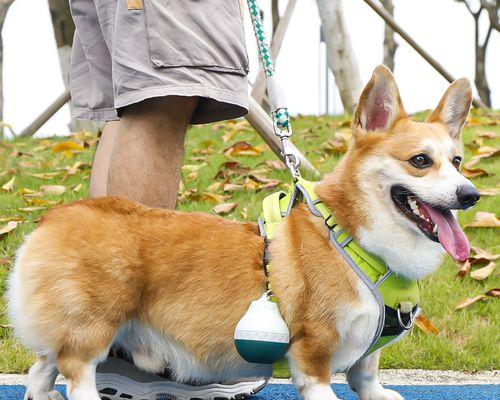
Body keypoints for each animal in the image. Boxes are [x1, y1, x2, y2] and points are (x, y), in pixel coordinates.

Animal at [5, 66, 478, 400]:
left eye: (456, 161)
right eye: (420, 161)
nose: (470, 195)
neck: (356, 239)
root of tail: (53, 218)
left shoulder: (367, 354)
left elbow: (366, 376)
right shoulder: (313, 352)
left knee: (40, 370)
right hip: (94, 326)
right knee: (76, 372)